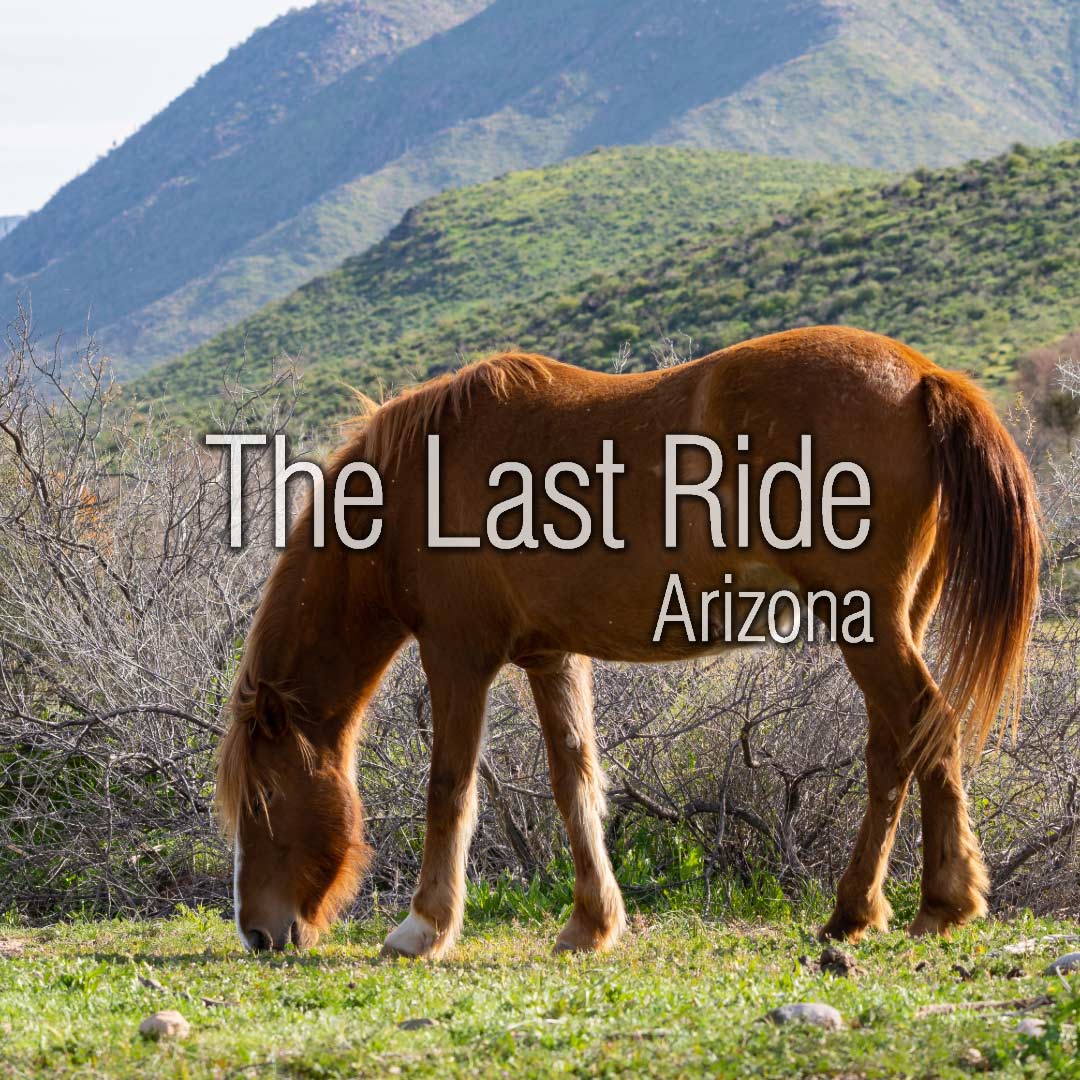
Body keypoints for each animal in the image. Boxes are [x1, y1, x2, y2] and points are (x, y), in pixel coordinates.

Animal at [217, 325, 1039, 957]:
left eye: (263, 800)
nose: (258, 934)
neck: (414, 486)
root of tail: (926, 378)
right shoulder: (549, 655)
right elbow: (575, 782)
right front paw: (591, 924)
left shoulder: (459, 655)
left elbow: (450, 788)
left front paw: (423, 929)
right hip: (884, 624)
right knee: (895, 750)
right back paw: (852, 913)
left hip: (865, 622)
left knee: (929, 726)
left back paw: (943, 903)